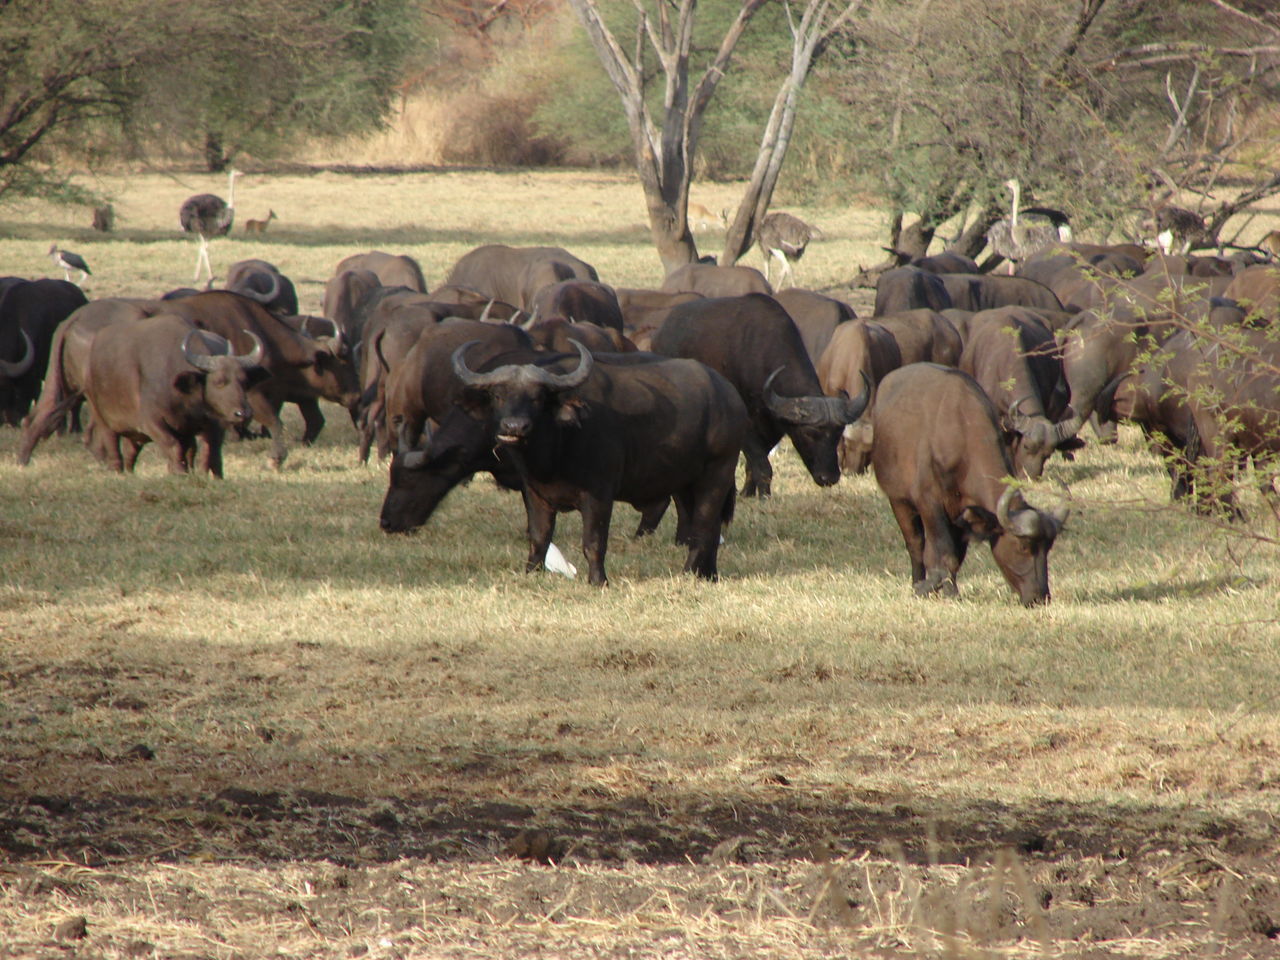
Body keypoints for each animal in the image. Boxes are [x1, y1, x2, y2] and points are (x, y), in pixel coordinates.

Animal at [82, 316, 267, 478]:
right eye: (219, 382)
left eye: (244, 382)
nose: (243, 413)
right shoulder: (151, 423)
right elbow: (173, 446)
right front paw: (180, 474)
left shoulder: (211, 424)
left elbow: (210, 450)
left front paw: (210, 476)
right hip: (100, 414)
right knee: (112, 442)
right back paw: (117, 472)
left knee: (131, 449)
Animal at [381, 345, 747, 586]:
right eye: (498, 395)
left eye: (537, 397)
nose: (514, 427)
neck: (555, 448)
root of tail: (728, 394)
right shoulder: (534, 491)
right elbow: (539, 536)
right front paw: (531, 572)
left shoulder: (598, 495)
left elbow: (593, 541)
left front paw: (598, 581)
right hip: (685, 482)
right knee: (704, 524)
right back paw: (708, 575)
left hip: (717, 473)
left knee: (703, 526)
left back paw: (689, 573)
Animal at [870, 363, 1070, 604]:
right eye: (1023, 546)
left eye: (1048, 548)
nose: (1039, 597)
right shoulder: (930, 504)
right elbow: (943, 553)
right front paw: (939, 590)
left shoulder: (962, 514)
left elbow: (956, 557)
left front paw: (949, 590)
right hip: (898, 500)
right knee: (915, 544)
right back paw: (917, 582)